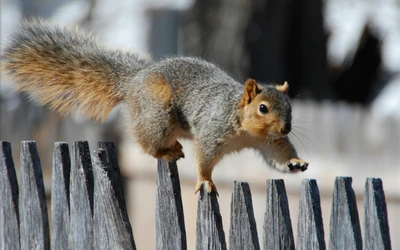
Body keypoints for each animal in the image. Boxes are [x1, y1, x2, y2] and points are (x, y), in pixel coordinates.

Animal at [1, 20, 310, 194]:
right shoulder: (211, 131)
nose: (287, 128)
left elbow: (277, 155)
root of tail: (134, 81)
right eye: (262, 108)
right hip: (158, 113)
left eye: (290, 107)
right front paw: (205, 182)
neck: (245, 128)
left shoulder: (268, 142)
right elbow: (204, 159)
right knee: (146, 144)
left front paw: (295, 162)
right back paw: (165, 151)